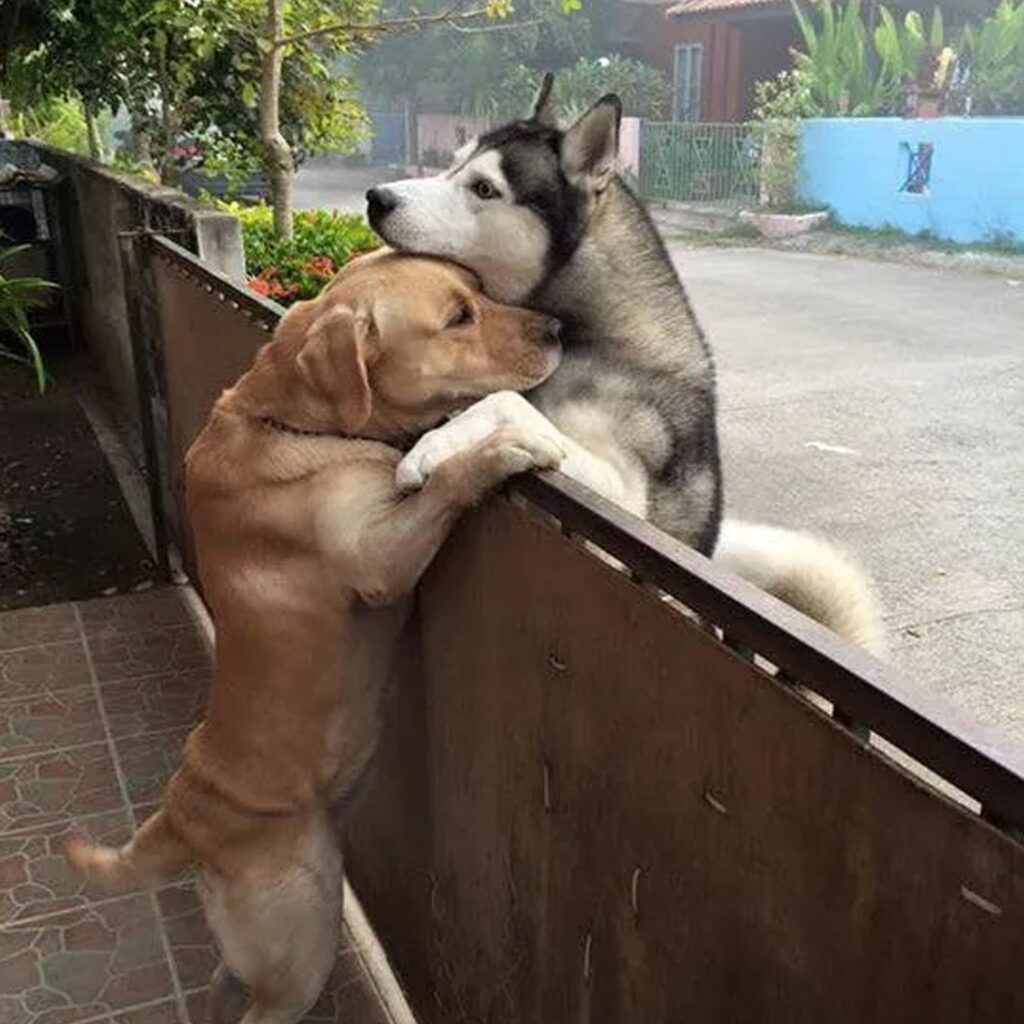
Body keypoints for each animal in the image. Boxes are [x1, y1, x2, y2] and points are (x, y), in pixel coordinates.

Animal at [66, 251, 561, 1024]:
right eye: (458, 317)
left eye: (480, 292)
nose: (560, 328)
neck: (298, 423)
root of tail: (182, 818)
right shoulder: (380, 560)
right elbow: (447, 479)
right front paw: (504, 446)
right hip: (304, 940)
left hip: (253, 949)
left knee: (221, 990)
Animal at [370, 77, 888, 655]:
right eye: (453, 163)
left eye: (483, 189)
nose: (376, 198)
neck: (598, 338)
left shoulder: (623, 499)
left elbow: (505, 401)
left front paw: (430, 448)